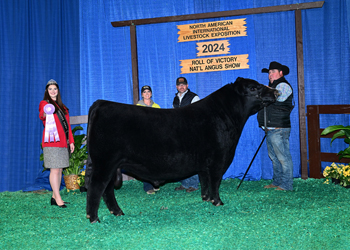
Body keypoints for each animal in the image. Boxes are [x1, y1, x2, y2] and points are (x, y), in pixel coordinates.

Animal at [86, 77, 278, 223]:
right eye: (253, 87)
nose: (276, 92)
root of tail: (101, 104)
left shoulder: (204, 163)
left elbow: (205, 181)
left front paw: (206, 199)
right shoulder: (219, 158)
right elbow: (215, 181)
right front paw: (217, 202)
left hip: (112, 165)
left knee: (107, 189)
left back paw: (117, 212)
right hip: (105, 162)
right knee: (96, 187)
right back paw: (94, 218)